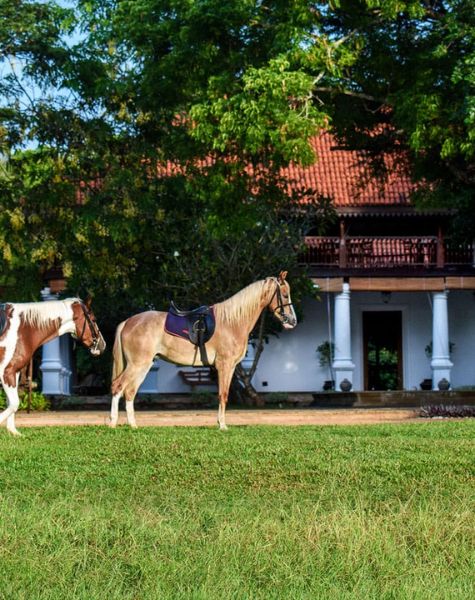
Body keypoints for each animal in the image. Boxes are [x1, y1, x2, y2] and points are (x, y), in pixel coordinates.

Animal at [0, 296, 106, 434]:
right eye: (93, 320)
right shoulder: (6, 372)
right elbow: (14, 404)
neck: (20, 329)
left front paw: (13, 432)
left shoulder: (14, 372)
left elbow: (11, 403)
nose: (102, 345)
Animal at [110, 272, 298, 432]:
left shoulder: (230, 368)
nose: (292, 321)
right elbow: (223, 394)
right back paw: (112, 423)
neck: (233, 322)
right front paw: (222, 426)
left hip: (143, 366)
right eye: (285, 294)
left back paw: (133, 425)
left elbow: (224, 394)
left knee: (130, 391)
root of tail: (128, 322)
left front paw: (221, 423)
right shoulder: (224, 365)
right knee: (118, 386)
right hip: (137, 364)